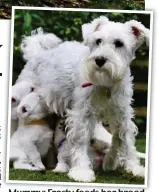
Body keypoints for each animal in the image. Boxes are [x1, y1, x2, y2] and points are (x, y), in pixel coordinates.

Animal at [16, 16, 149, 182]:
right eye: (98, 41)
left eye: (119, 43)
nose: (100, 60)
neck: (105, 84)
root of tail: (36, 54)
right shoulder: (82, 114)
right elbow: (80, 140)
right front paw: (82, 171)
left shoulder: (122, 112)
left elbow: (125, 138)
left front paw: (133, 167)